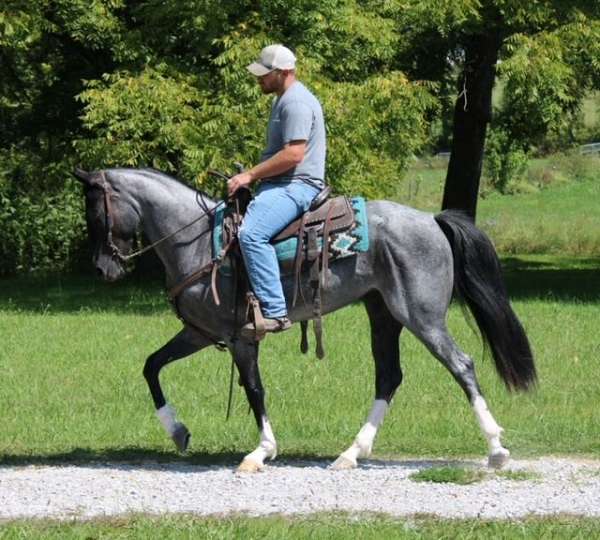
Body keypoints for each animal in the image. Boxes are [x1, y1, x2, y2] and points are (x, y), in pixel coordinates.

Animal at [72, 169, 536, 472]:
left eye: (95, 214)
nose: (101, 269)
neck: (200, 242)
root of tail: (432, 220)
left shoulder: (240, 338)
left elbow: (254, 390)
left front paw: (261, 451)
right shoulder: (200, 332)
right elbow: (151, 366)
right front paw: (178, 432)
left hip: (422, 316)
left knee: (462, 365)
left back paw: (496, 449)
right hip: (383, 314)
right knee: (389, 376)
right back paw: (351, 453)